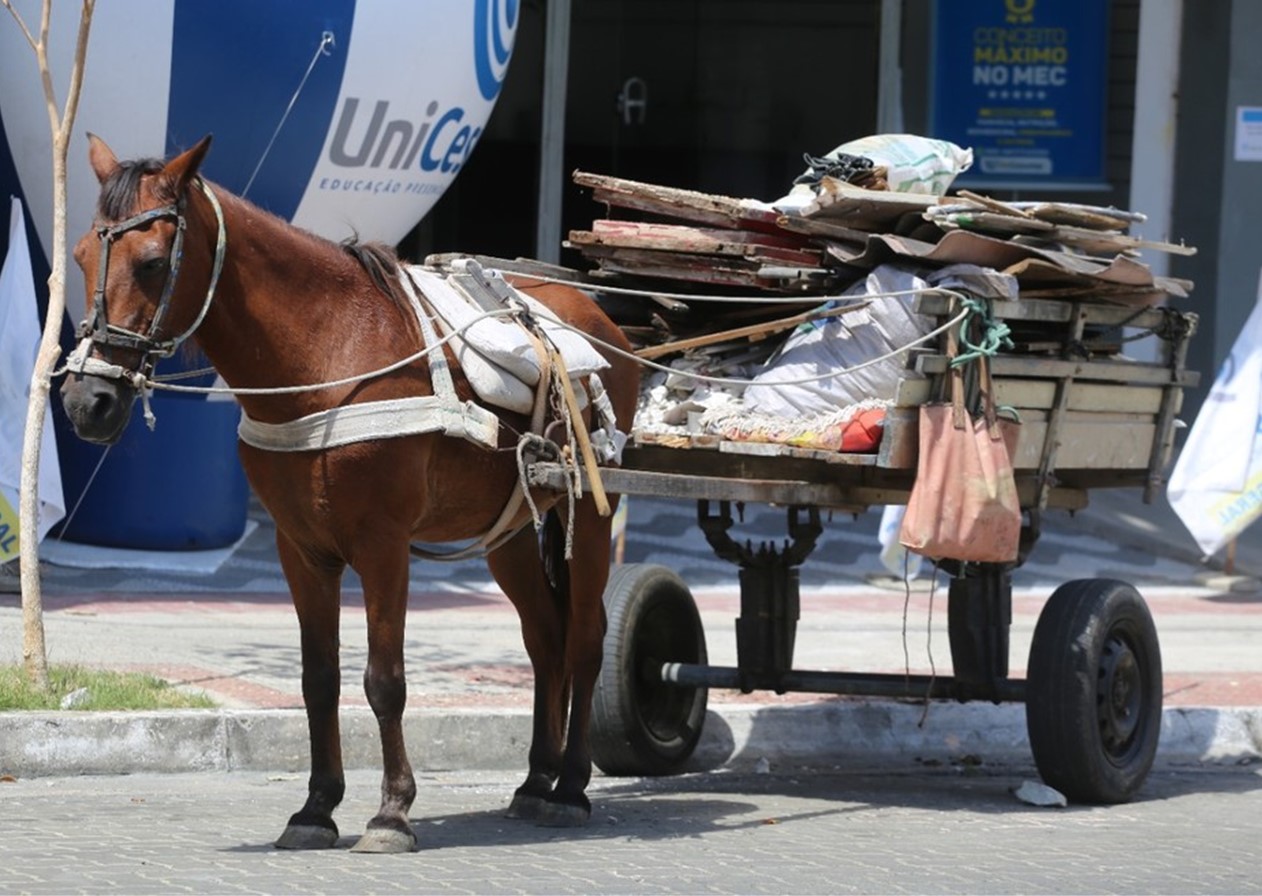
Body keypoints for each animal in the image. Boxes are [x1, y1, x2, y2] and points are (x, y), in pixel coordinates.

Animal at [58, 135, 636, 858]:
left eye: (154, 262)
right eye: (81, 255)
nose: (87, 400)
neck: (329, 354)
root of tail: (603, 323)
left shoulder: (383, 547)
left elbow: (383, 681)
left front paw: (391, 813)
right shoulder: (302, 550)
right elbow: (319, 680)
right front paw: (316, 807)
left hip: (590, 517)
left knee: (584, 638)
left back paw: (571, 788)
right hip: (507, 534)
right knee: (545, 637)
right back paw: (536, 778)